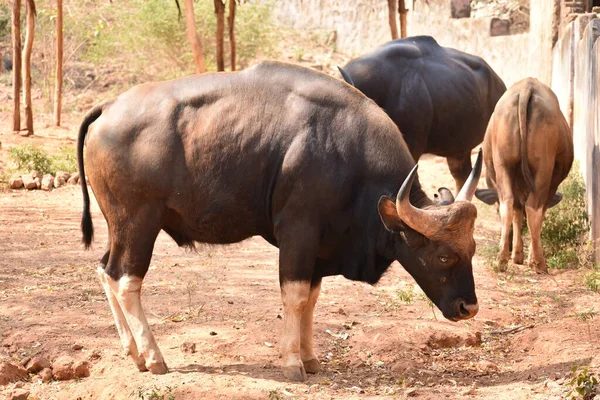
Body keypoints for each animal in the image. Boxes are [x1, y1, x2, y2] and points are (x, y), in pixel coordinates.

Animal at [476, 77, 576, 274]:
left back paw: (501, 259)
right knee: (533, 207)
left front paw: (517, 254)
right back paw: (538, 262)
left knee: (508, 203)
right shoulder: (551, 183)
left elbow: (516, 212)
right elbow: (538, 213)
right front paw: (527, 256)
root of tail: (526, 88)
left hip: (503, 164)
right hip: (544, 167)